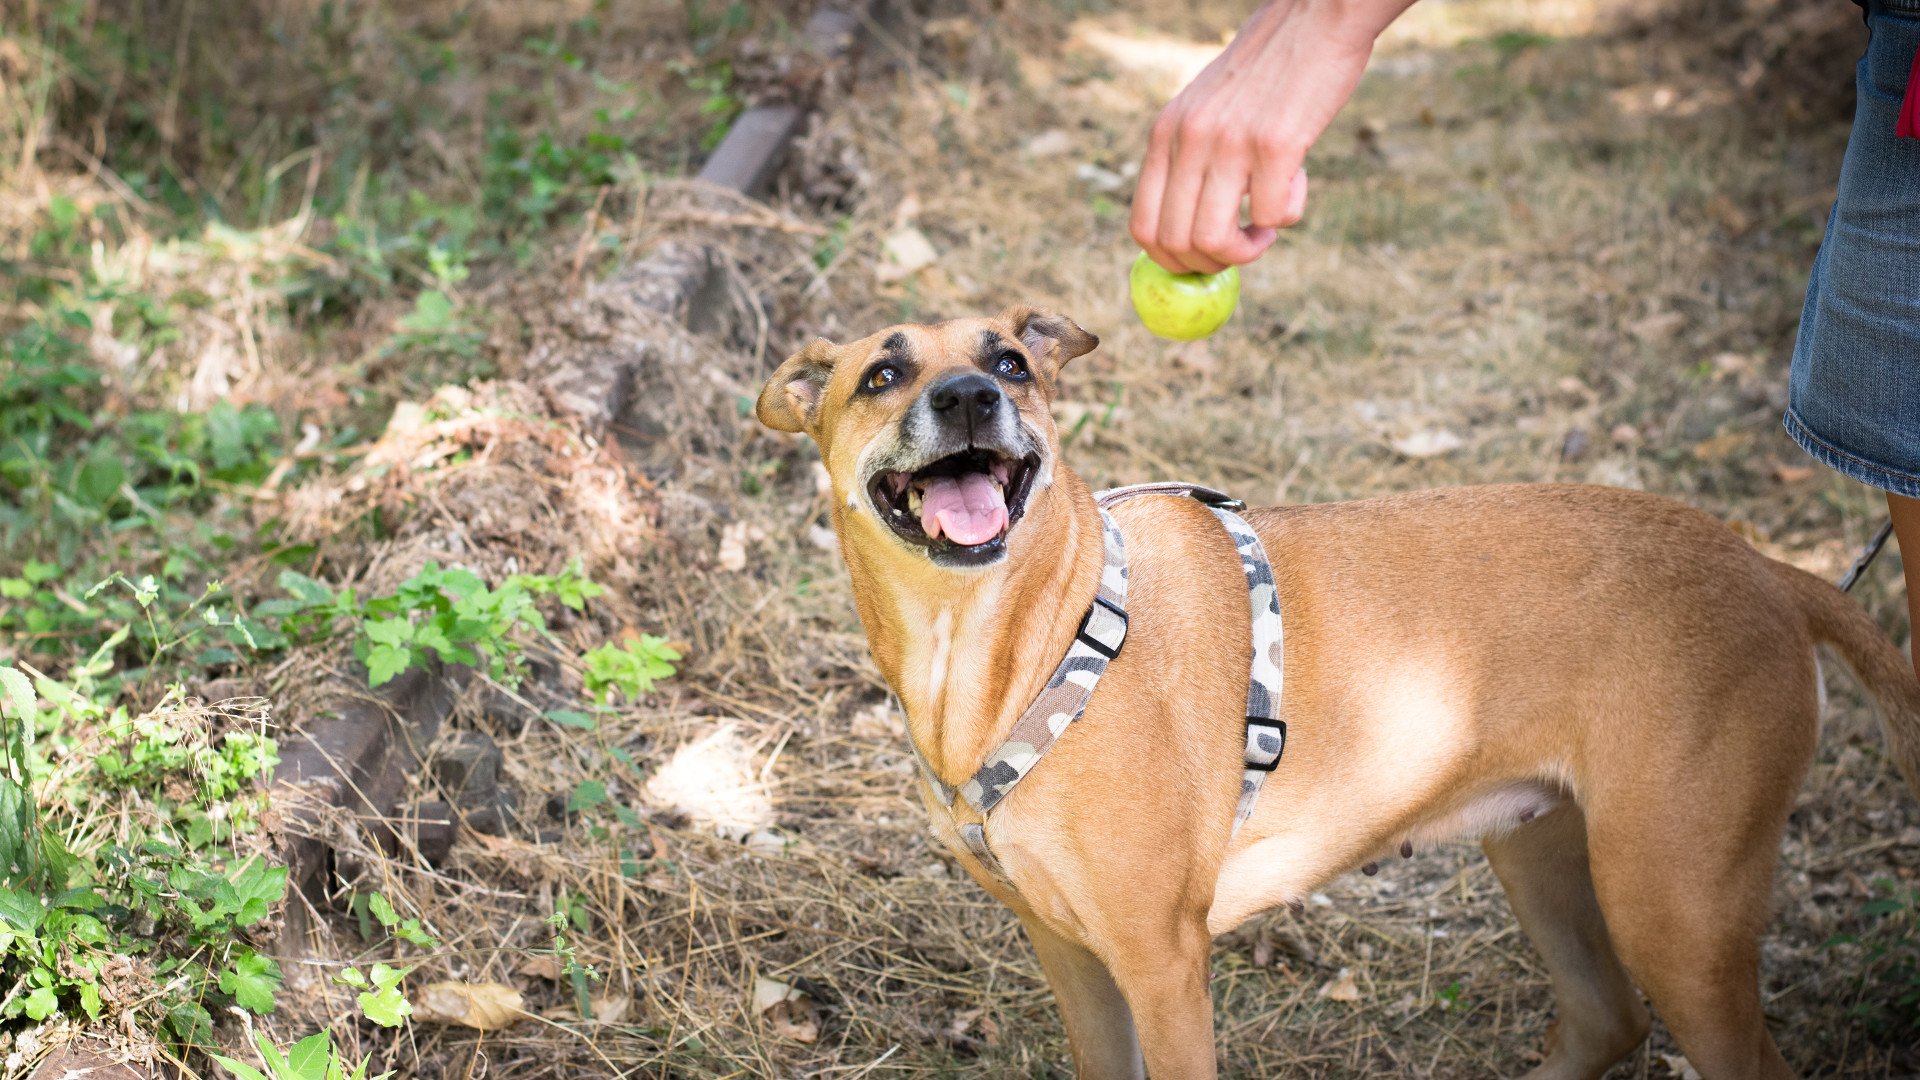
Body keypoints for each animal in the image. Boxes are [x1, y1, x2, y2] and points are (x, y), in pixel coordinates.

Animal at [748, 307, 1920, 1068]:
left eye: (1009, 360)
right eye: (881, 377)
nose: (969, 396)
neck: (1016, 640)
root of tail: (1769, 570)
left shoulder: (1162, 967)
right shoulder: (1070, 953)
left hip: (1675, 908)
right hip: (1542, 848)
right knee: (1607, 1020)